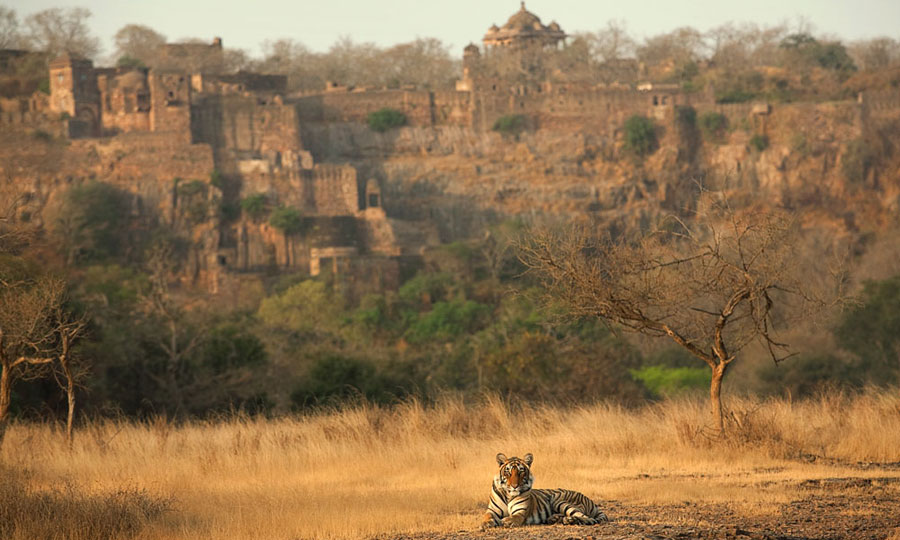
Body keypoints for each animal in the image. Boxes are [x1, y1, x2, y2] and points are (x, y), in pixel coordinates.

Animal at [478, 452, 612, 528]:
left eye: (521, 471)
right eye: (508, 472)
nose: (515, 486)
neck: (508, 495)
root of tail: (590, 500)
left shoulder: (521, 512)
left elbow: (515, 517)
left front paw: (507, 521)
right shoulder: (492, 510)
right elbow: (487, 516)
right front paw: (485, 523)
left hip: (559, 500)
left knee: (588, 518)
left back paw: (568, 520)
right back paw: (555, 519)